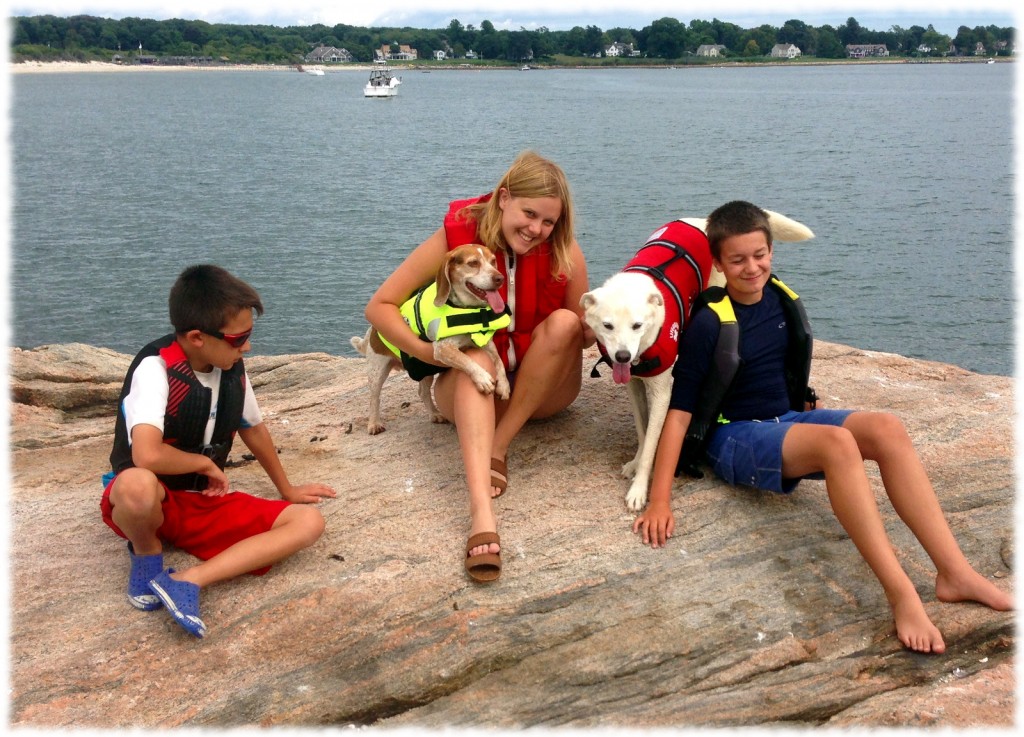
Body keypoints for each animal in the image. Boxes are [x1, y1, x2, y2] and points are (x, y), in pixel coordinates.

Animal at [352, 244, 512, 434]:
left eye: (493, 261)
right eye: (473, 263)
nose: (500, 278)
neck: (465, 308)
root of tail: (372, 331)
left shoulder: (485, 343)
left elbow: (499, 361)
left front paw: (504, 385)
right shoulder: (442, 348)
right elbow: (466, 359)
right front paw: (482, 378)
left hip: (424, 369)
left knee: (422, 391)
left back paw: (435, 413)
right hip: (377, 371)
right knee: (374, 398)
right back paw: (374, 423)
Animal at [585, 212, 815, 511]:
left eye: (637, 325)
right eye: (607, 326)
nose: (623, 356)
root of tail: (702, 219)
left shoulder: (661, 392)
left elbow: (652, 441)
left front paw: (639, 489)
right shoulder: (633, 385)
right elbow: (643, 430)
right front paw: (636, 462)